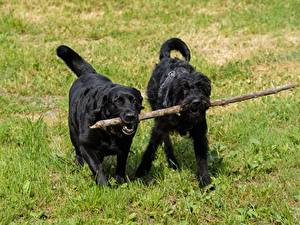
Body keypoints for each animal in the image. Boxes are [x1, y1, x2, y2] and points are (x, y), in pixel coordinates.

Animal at [56, 38, 211, 186]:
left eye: (202, 88)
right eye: (184, 90)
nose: (196, 102)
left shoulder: (199, 132)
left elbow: (202, 160)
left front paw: (206, 183)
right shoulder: (87, 146)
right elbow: (100, 168)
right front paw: (131, 176)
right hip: (74, 133)